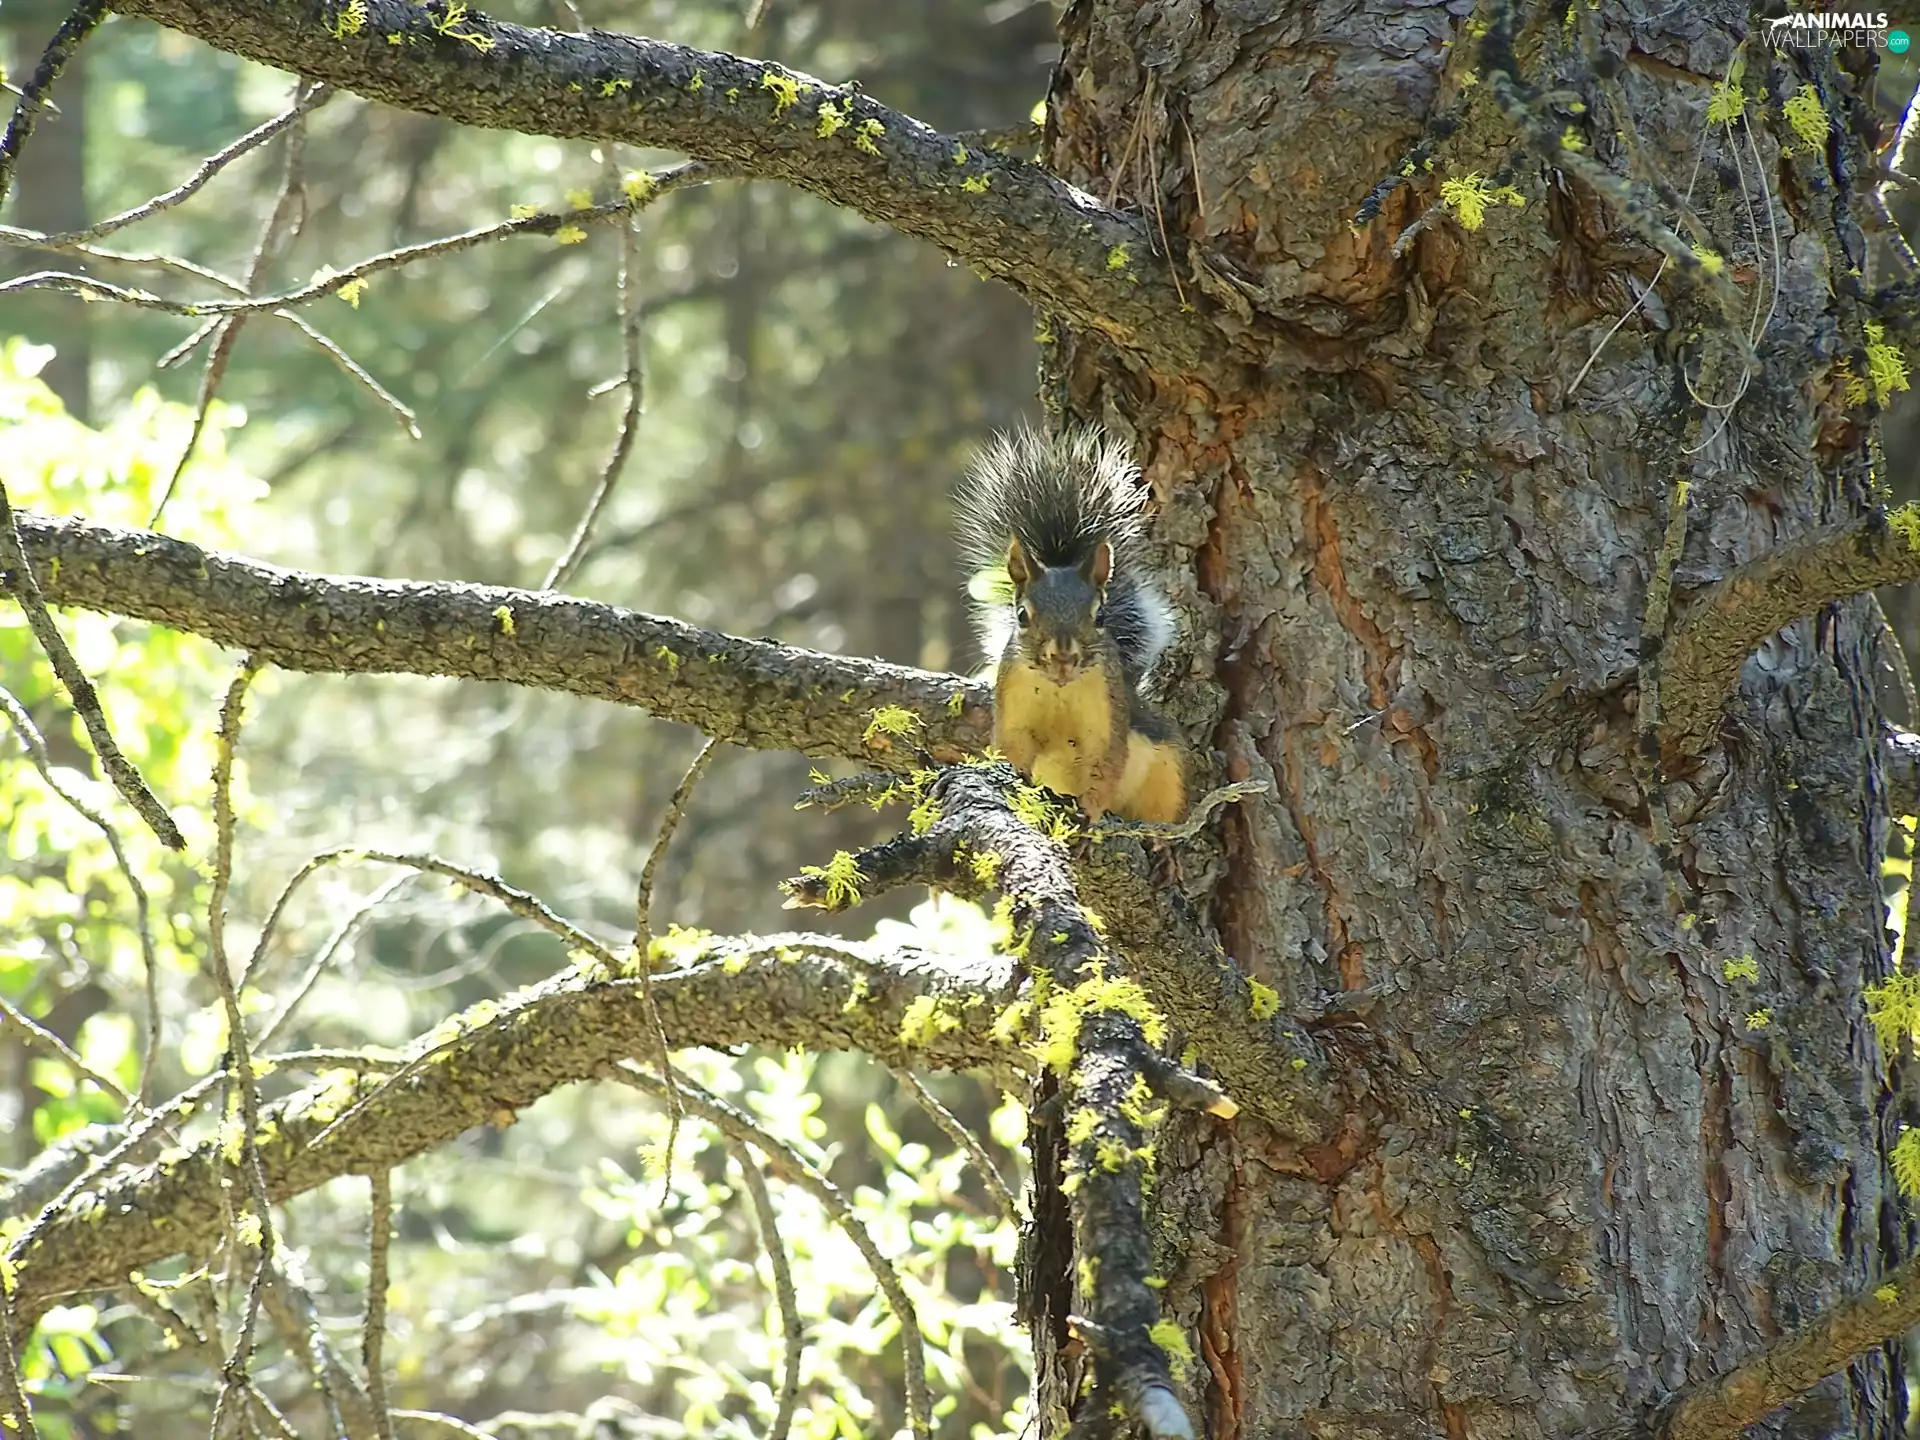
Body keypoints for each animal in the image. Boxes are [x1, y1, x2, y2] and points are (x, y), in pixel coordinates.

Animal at [956, 426, 1188, 824]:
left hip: (1167, 769)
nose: (1063, 657)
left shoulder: (1107, 721)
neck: (1058, 688)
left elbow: (1105, 767)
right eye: (1021, 615)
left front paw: (1089, 811)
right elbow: (1012, 747)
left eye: (1100, 616)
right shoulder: (1013, 707)